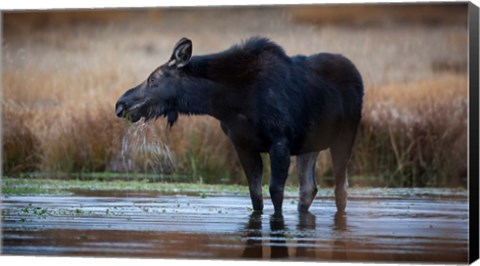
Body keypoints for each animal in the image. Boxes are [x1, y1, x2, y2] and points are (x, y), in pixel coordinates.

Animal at [115, 37, 364, 214]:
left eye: (153, 79)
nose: (121, 104)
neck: (229, 103)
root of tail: (357, 73)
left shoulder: (279, 142)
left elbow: (276, 193)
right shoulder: (243, 145)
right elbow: (256, 196)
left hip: (346, 136)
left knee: (340, 189)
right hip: (310, 144)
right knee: (309, 189)